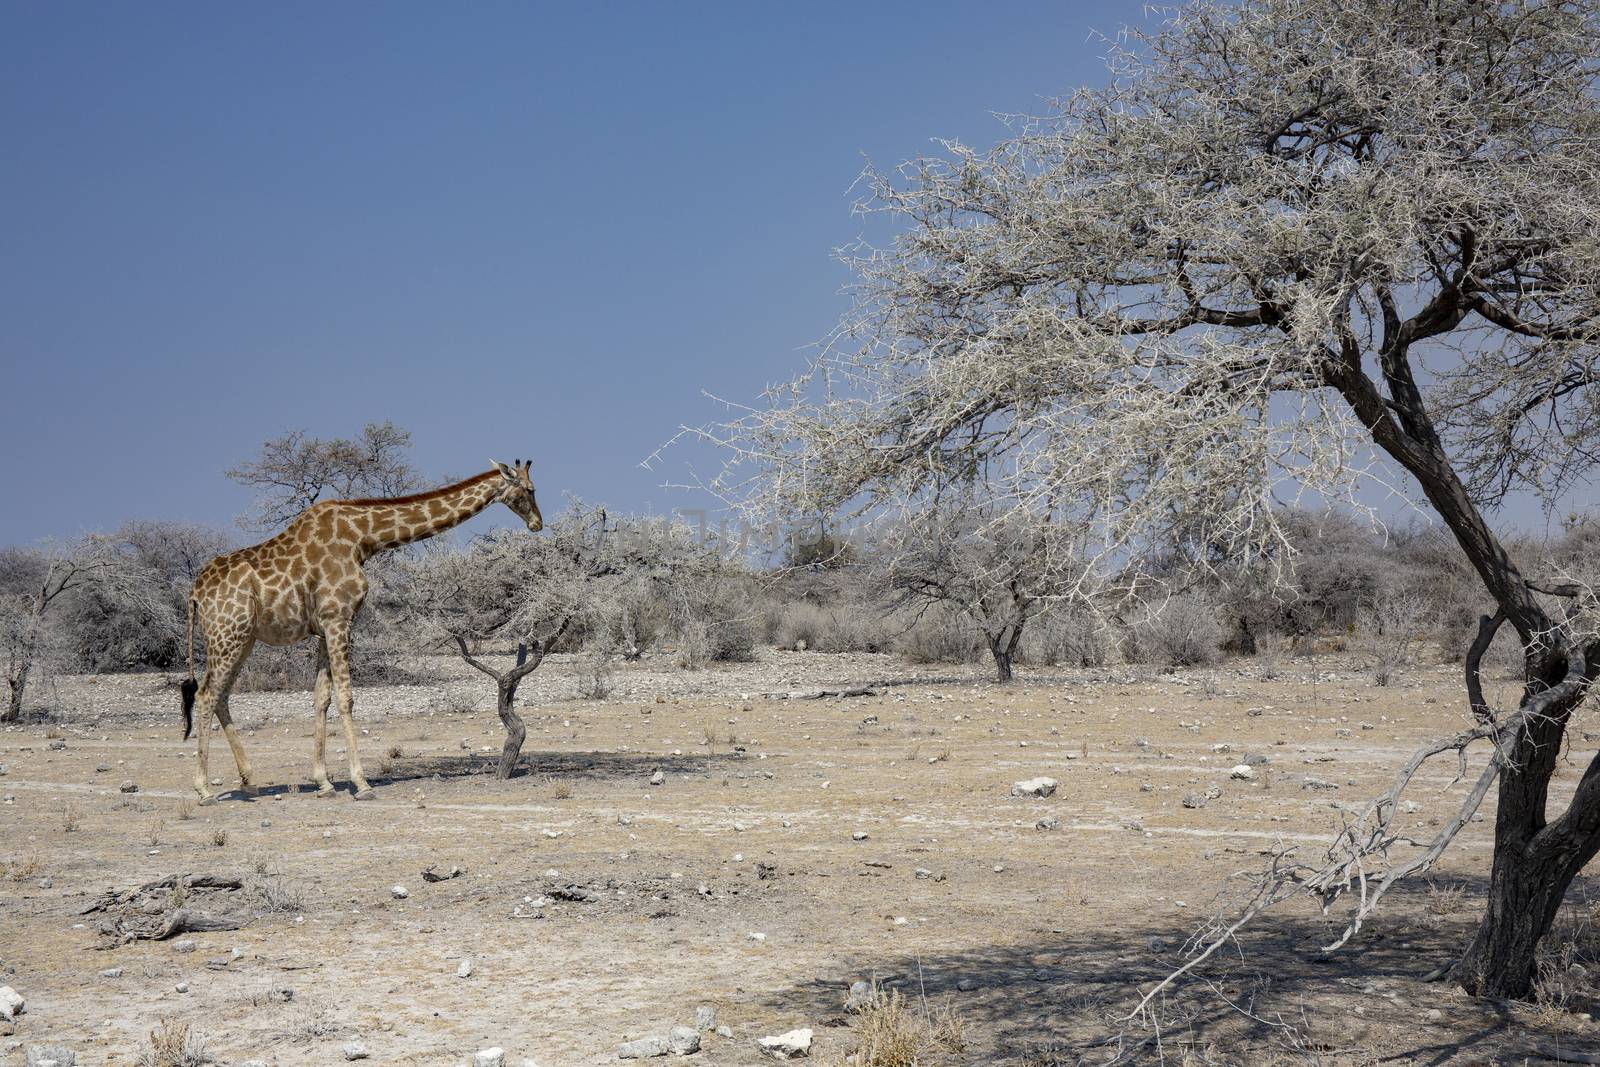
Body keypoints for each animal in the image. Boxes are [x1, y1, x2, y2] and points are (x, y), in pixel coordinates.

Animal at [180, 460, 544, 799]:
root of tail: (195, 592)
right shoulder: (338, 618)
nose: (537, 523)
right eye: (530, 489)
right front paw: (361, 782)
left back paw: (249, 781)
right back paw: (203, 789)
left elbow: (321, 698)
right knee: (207, 694)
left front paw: (324, 782)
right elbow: (346, 697)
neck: (363, 538)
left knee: (221, 695)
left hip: (243, 638)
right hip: (228, 634)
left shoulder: (324, 627)